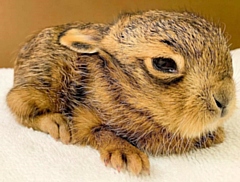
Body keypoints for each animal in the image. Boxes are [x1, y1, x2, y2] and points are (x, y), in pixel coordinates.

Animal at [6, 10, 235, 175]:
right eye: (164, 63)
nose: (224, 100)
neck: (126, 90)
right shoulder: (84, 116)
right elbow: (100, 132)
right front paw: (127, 156)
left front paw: (214, 135)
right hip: (37, 90)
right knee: (17, 106)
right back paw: (57, 125)